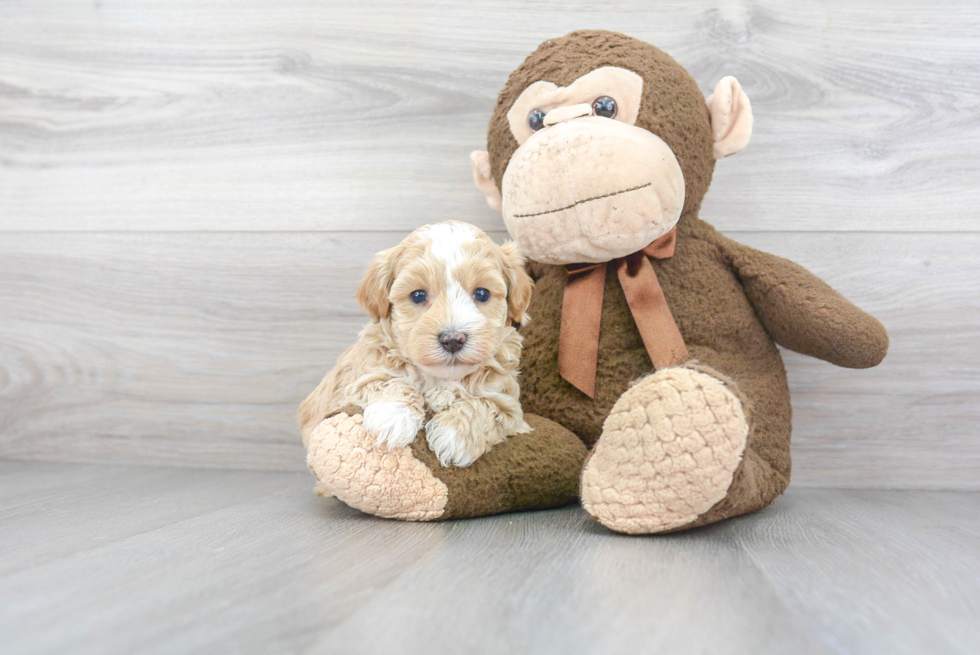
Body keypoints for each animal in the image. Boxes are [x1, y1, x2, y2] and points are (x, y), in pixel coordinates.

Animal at [298, 223, 532, 468]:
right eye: (418, 295)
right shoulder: (356, 381)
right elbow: (388, 381)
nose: (452, 339)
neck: (440, 378)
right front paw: (393, 417)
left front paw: (454, 435)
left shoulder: (509, 405)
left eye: (482, 293)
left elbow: (486, 405)